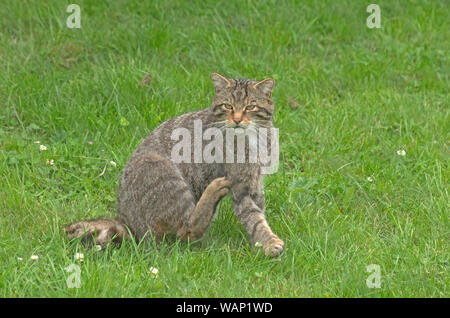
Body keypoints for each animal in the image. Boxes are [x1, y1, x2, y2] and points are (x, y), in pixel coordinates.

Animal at [66, 73, 284, 258]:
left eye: (250, 107)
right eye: (228, 106)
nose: (237, 119)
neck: (255, 139)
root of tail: (126, 222)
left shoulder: (255, 183)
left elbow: (259, 214)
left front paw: (260, 242)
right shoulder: (240, 184)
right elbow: (254, 218)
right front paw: (269, 243)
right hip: (168, 176)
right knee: (185, 231)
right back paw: (213, 191)